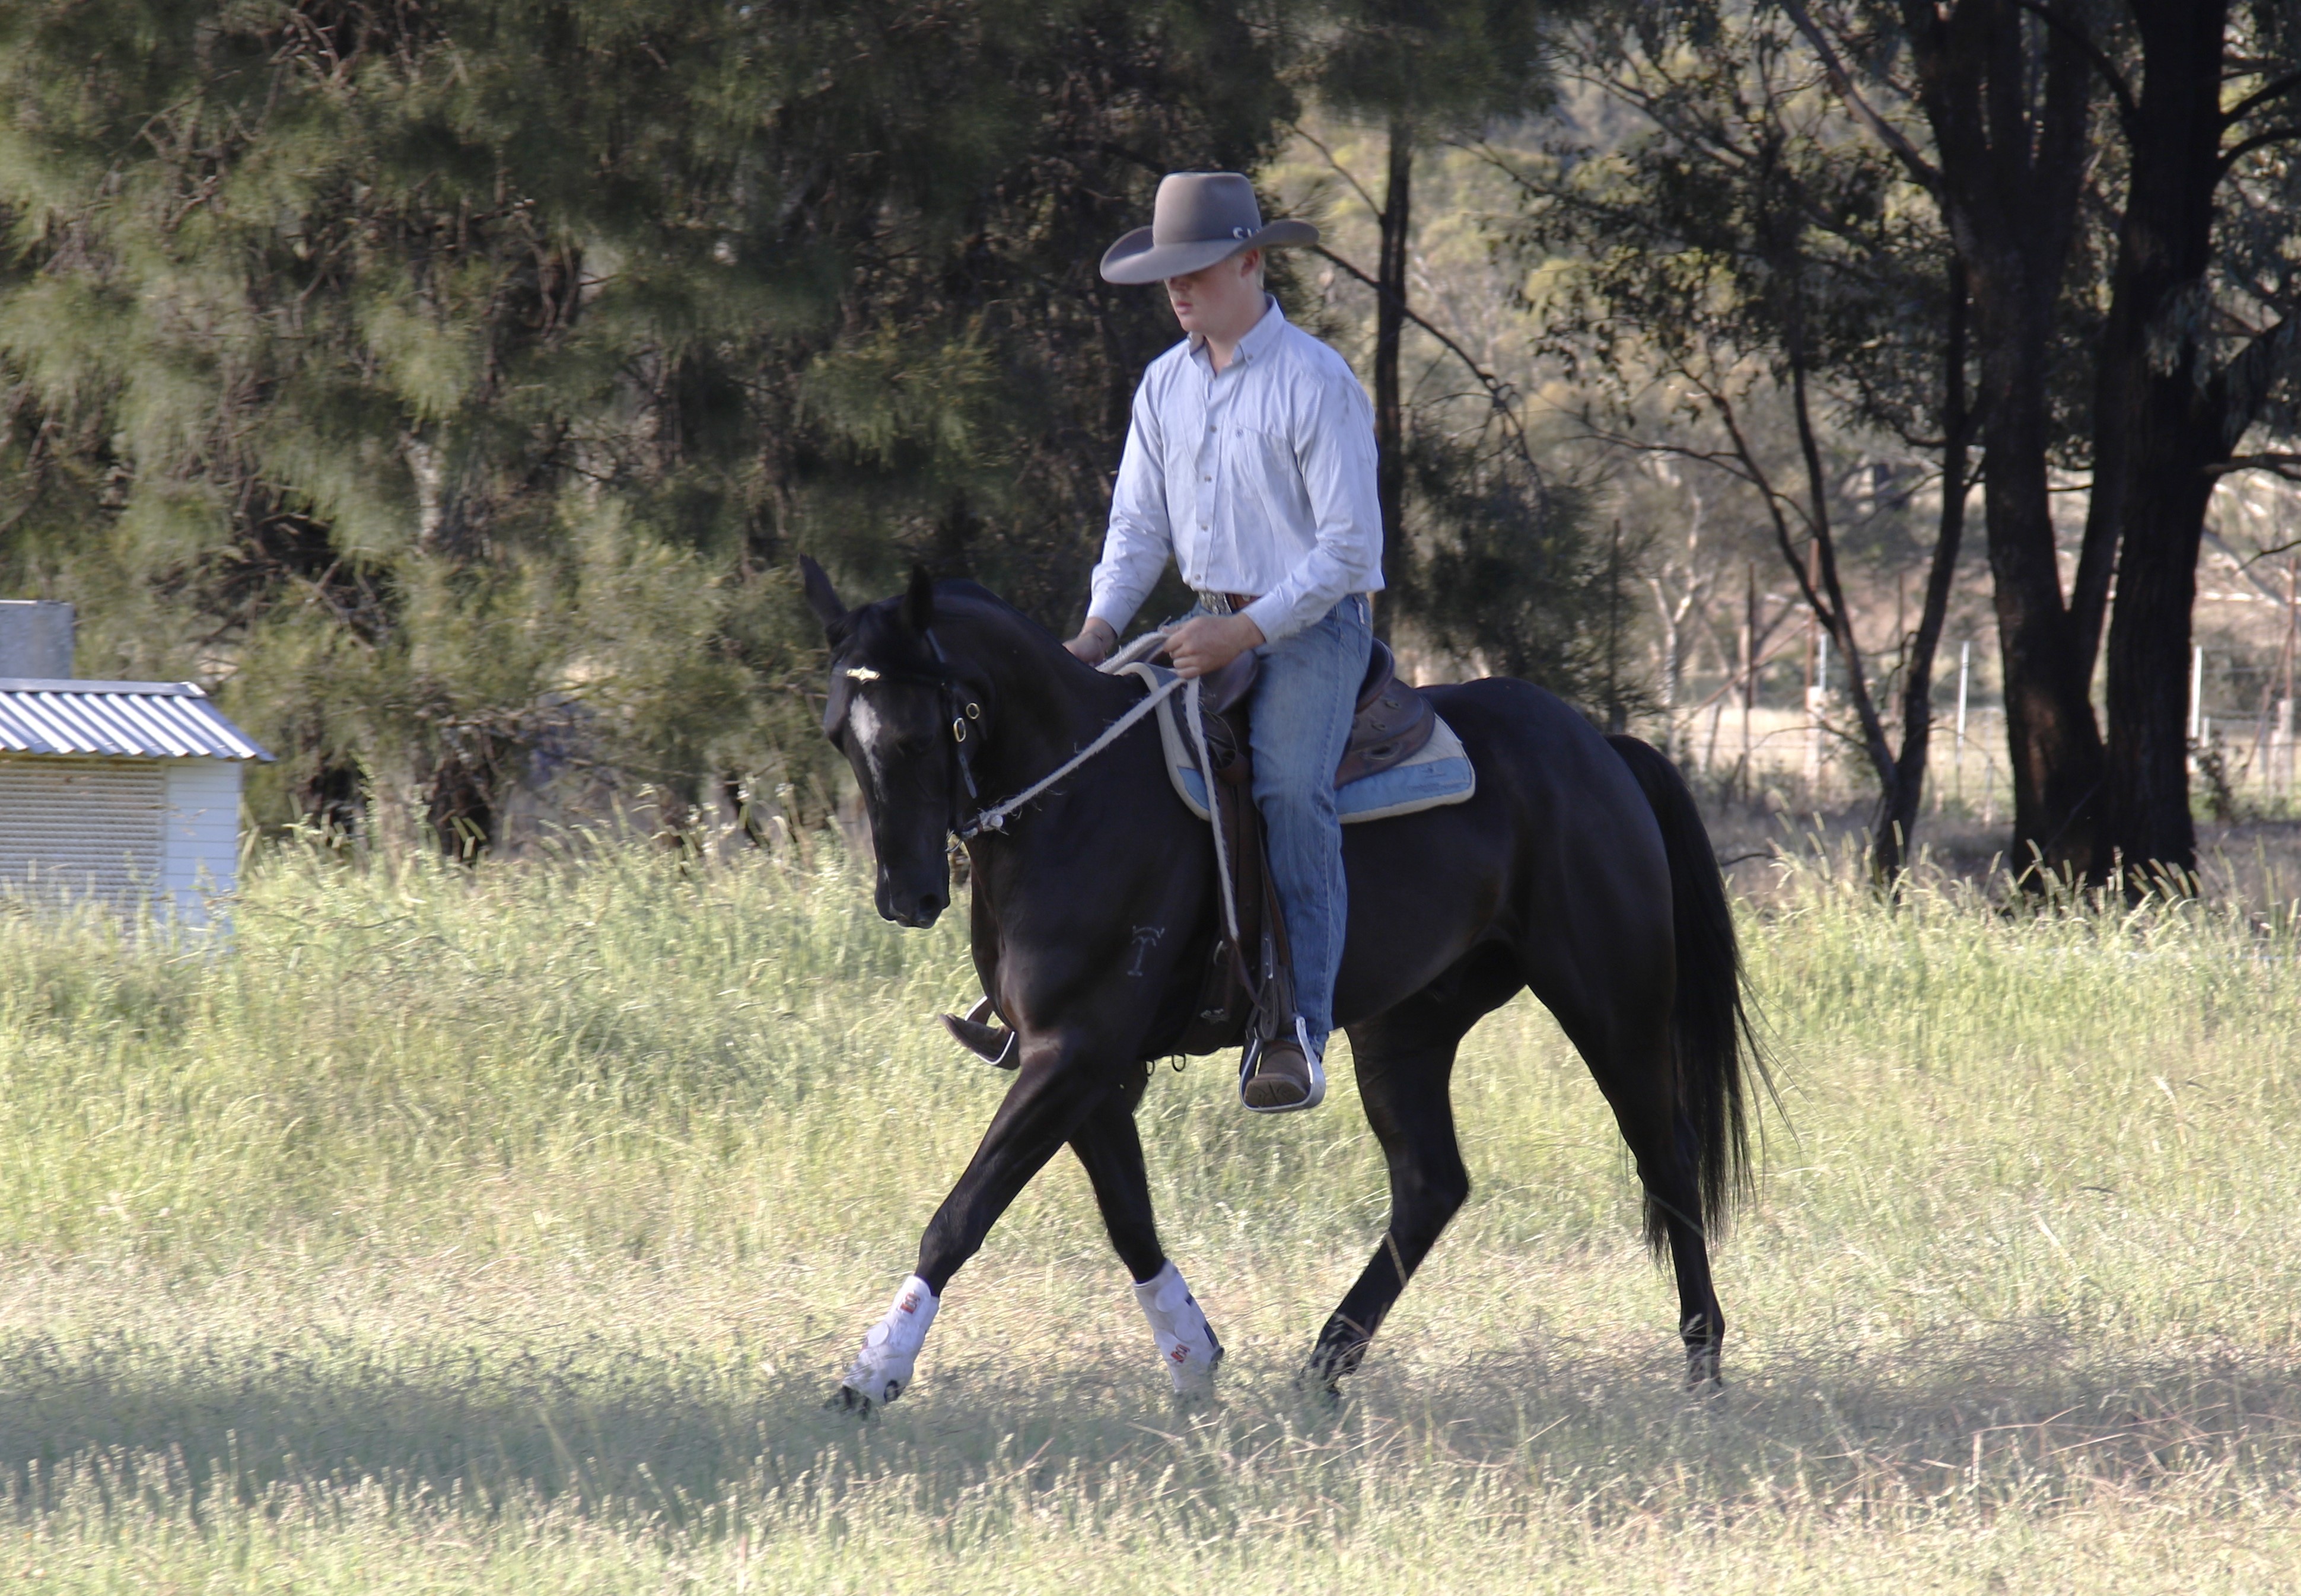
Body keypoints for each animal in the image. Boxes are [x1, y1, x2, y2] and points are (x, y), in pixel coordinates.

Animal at [803, 560, 1762, 1408]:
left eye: (919, 733)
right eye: (839, 734)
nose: (906, 895)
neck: (1077, 797)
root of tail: (1599, 747)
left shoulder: (1073, 1054)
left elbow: (962, 1213)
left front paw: (872, 1374)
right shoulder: (1078, 1064)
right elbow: (1128, 1216)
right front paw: (1193, 1357)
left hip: (1611, 1004)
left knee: (1665, 1155)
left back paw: (1701, 1365)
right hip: (1405, 1030)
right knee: (1431, 1185)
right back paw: (1322, 1367)